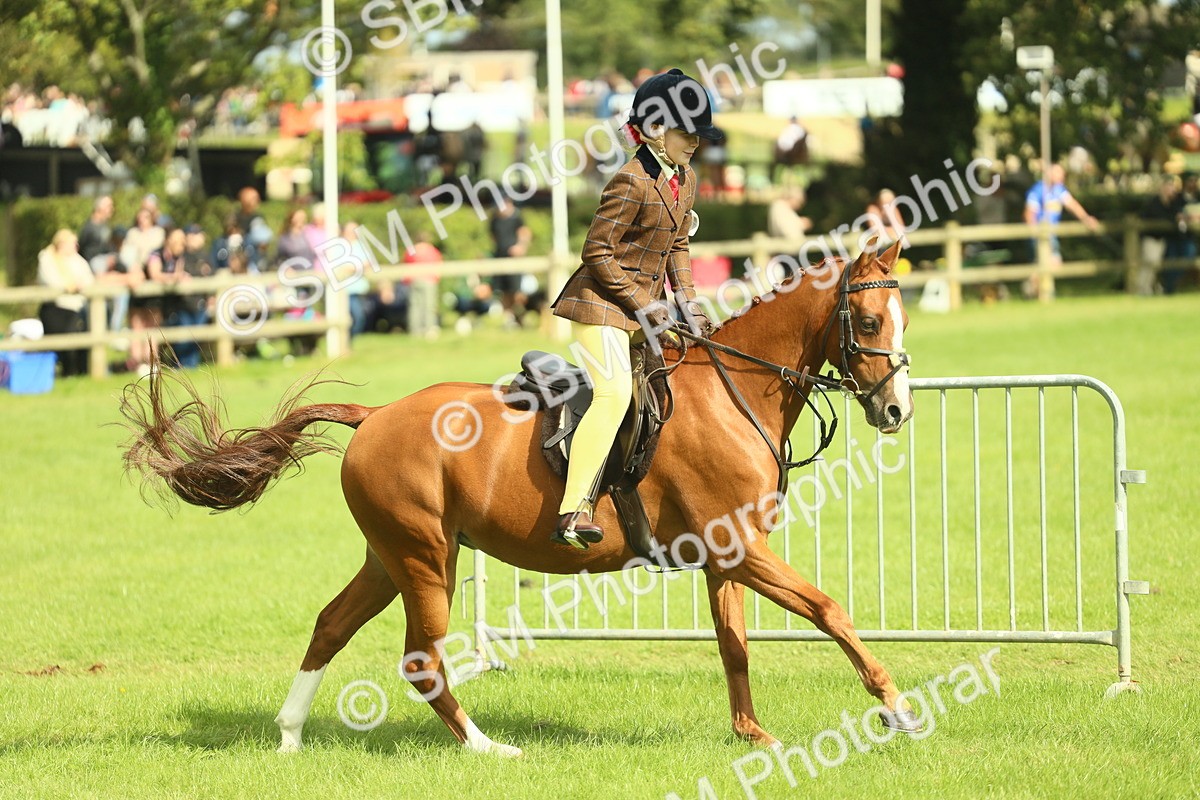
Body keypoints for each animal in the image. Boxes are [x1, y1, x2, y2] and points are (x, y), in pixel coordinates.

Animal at [120, 241, 916, 757]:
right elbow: (829, 611)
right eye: (868, 323)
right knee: (421, 660)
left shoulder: (727, 556)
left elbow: (735, 646)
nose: (896, 411)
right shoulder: (741, 548)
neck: (732, 392)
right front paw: (897, 708)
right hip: (426, 558)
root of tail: (372, 417)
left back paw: (289, 737)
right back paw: (486, 747)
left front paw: (752, 735)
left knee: (330, 626)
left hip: (391, 556)